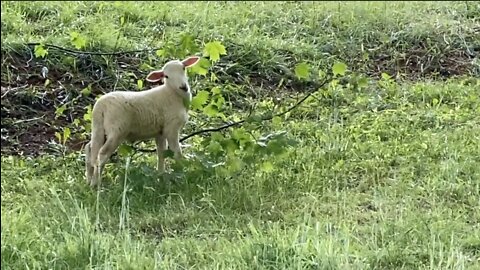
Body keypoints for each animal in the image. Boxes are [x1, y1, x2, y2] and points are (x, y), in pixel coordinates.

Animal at [84, 54, 201, 186]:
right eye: (166, 76)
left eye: (183, 68)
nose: (183, 87)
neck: (172, 94)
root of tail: (101, 106)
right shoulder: (171, 128)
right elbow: (177, 152)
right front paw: (182, 174)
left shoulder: (160, 132)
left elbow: (161, 154)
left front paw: (161, 176)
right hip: (117, 131)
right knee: (102, 154)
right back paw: (95, 184)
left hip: (99, 128)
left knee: (90, 149)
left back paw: (89, 180)